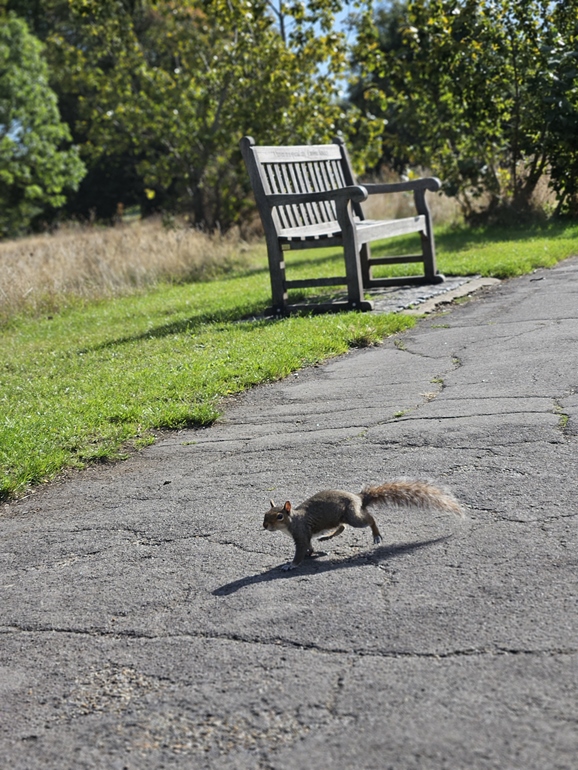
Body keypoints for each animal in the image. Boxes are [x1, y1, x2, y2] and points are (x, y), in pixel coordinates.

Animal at [264, 480, 462, 568]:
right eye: (265, 515)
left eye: (279, 516)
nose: (265, 526)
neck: (291, 522)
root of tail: (358, 498)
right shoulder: (305, 535)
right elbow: (309, 547)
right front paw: (312, 553)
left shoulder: (301, 533)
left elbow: (300, 551)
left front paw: (292, 564)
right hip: (341, 518)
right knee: (342, 527)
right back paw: (327, 536)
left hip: (353, 516)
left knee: (369, 519)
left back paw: (376, 535)